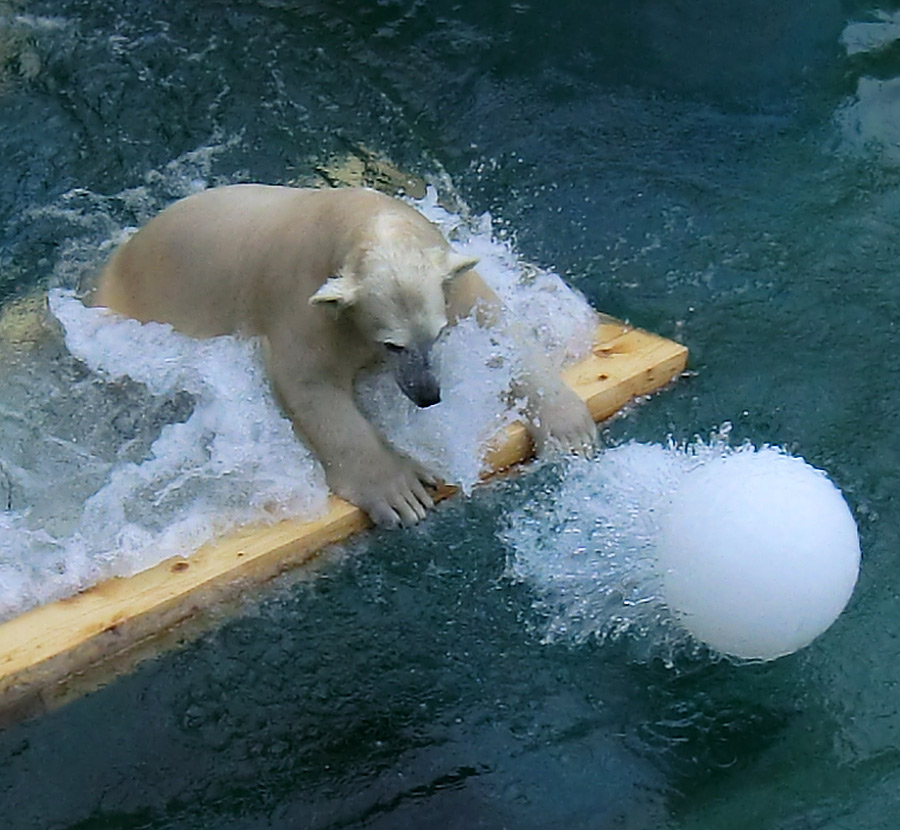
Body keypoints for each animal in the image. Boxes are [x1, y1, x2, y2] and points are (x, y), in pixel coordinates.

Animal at [95, 187, 596, 528]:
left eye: (436, 335)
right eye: (392, 344)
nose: (427, 394)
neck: (360, 221)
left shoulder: (451, 284)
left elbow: (499, 327)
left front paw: (570, 431)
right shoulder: (304, 306)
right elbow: (310, 385)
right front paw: (403, 490)